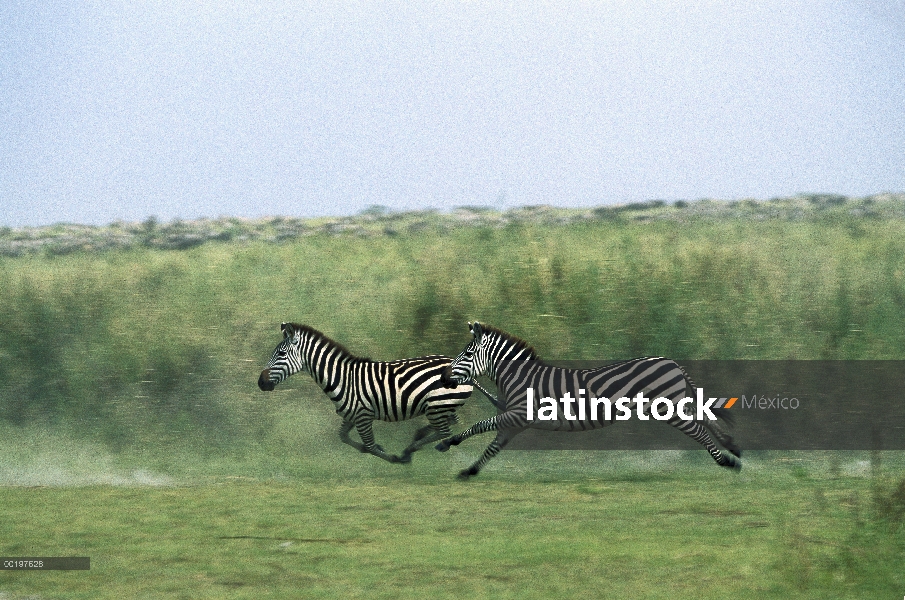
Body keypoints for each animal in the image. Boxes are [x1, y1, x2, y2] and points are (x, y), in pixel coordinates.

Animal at [254, 324, 494, 464]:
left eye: (281, 354)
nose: (261, 382)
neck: (341, 377)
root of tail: (470, 376)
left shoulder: (362, 415)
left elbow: (369, 446)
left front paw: (393, 457)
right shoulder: (350, 415)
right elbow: (344, 437)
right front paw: (371, 448)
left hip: (438, 404)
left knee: (444, 431)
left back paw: (408, 451)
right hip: (441, 405)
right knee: (446, 424)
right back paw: (415, 440)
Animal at [436, 322, 740, 480]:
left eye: (467, 354)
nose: (445, 376)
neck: (518, 378)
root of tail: (672, 362)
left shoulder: (519, 414)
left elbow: (479, 426)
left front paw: (448, 443)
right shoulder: (515, 421)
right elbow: (492, 447)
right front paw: (470, 470)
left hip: (668, 406)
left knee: (698, 429)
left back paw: (726, 462)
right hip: (674, 402)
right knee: (705, 418)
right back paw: (732, 447)